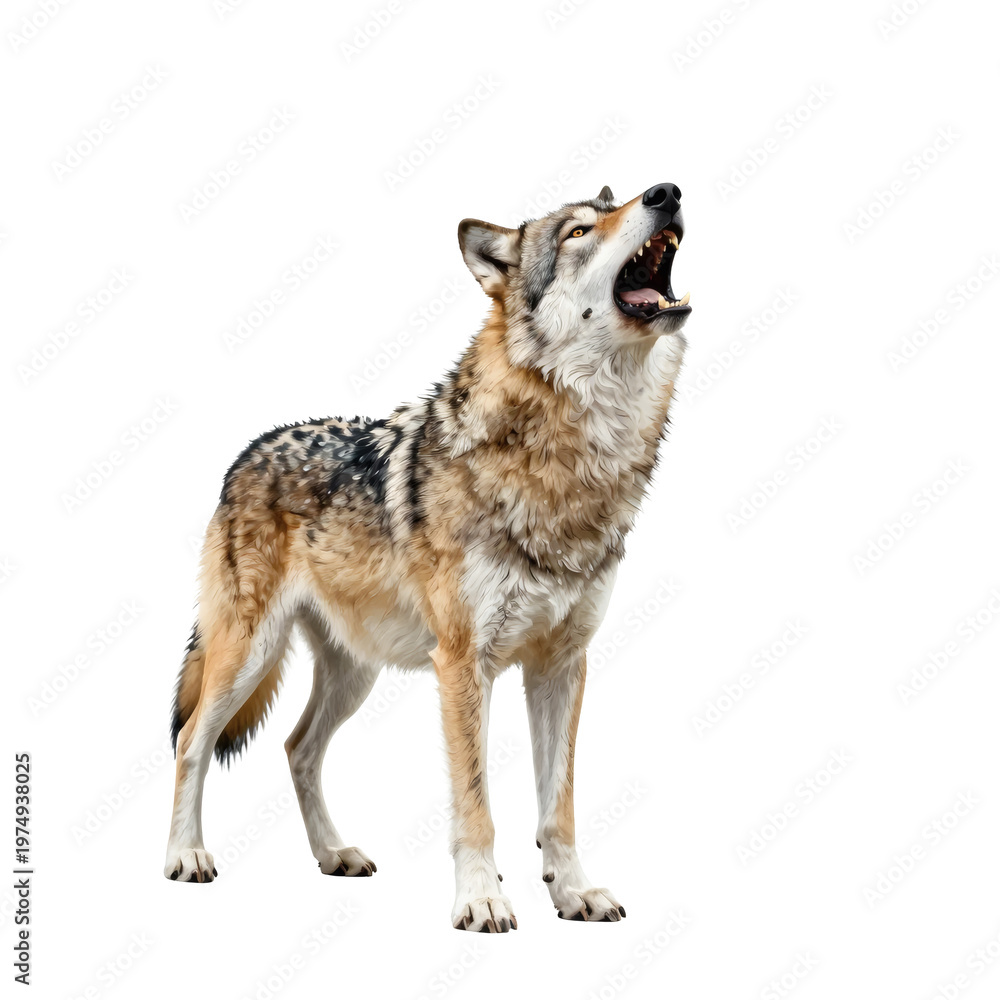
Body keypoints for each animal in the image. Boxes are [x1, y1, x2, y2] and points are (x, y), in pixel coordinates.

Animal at [165, 182, 690, 932]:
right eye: (579, 231)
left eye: (609, 209)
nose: (666, 192)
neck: (568, 459)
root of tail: (248, 452)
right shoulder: (464, 664)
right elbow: (476, 805)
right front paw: (481, 898)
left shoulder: (562, 666)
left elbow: (557, 808)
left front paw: (573, 892)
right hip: (247, 653)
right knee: (192, 742)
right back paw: (186, 856)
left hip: (354, 673)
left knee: (297, 748)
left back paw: (334, 854)